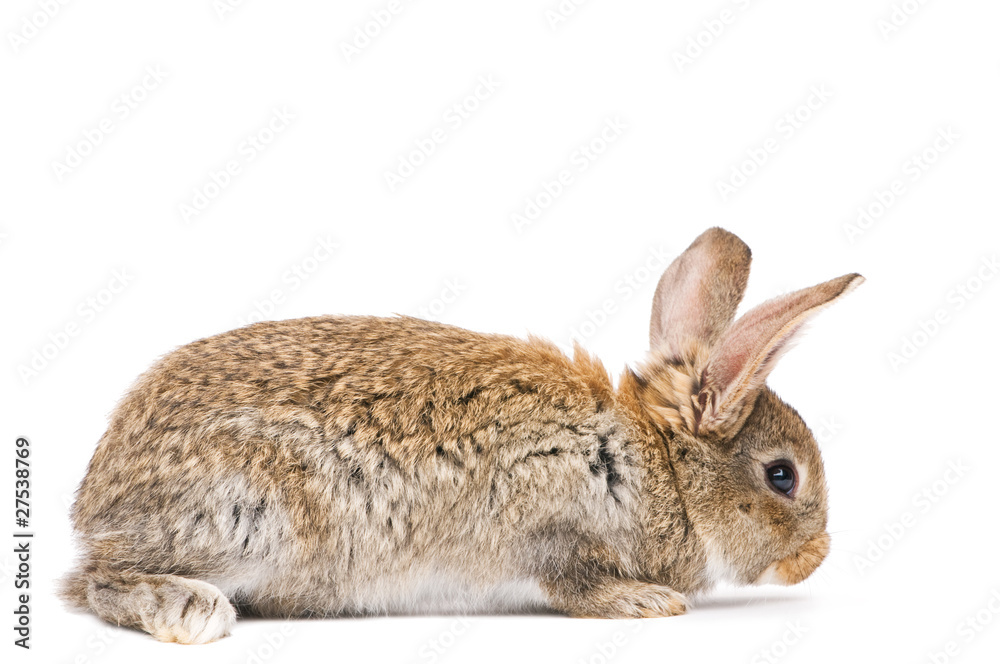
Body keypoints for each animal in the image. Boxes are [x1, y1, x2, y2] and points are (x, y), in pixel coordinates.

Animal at [61, 227, 863, 644]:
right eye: (782, 475)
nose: (817, 560)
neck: (654, 466)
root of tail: (96, 502)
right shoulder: (551, 521)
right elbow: (575, 582)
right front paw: (645, 604)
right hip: (245, 520)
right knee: (95, 582)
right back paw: (189, 611)